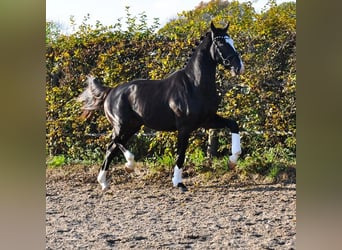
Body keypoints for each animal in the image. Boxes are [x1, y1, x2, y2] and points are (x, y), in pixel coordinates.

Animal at [77, 21, 243, 192]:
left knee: (111, 147)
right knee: (114, 142)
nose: (238, 67)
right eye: (220, 43)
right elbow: (181, 154)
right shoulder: (184, 128)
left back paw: (104, 182)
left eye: (231, 41)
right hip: (121, 125)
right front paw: (179, 183)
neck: (195, 84)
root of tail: (111, 91)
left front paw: (232, 161)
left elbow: (233, 124)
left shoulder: (207, 120)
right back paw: (128, 165)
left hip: (132, 127)